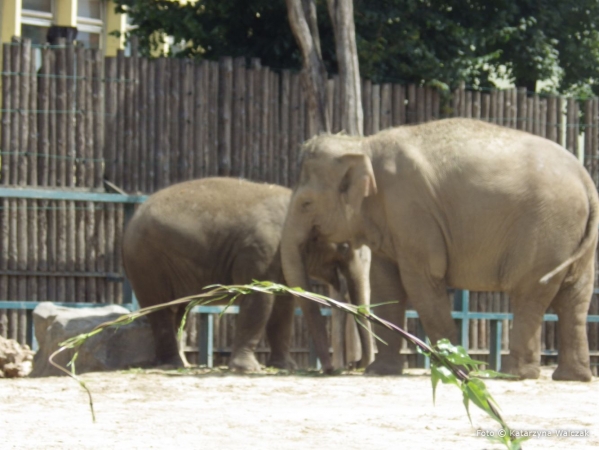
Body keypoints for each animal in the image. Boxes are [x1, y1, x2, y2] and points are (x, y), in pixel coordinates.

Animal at [123, 178, 376, 370]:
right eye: (344, 247)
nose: (351, 364)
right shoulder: (261, 250)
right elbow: (260, 299)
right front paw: (248, 369)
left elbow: (284, 305)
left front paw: (285, 366)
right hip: (146, 261)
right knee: (161, 308)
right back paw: (174, 364)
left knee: (178, 309)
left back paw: (181, 364)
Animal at [282, 118, 599, 382]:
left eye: (306, 203)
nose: (332, 369)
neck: (362, 144)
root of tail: (585, 179)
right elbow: (386, 285)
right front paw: (379, 371)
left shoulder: (411, 210)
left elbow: (421, 280)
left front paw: (458, 368)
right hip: (572, 236)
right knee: (574, 298)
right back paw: (571, 377)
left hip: (546, 230)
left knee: (530, 293)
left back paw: (514, 375)